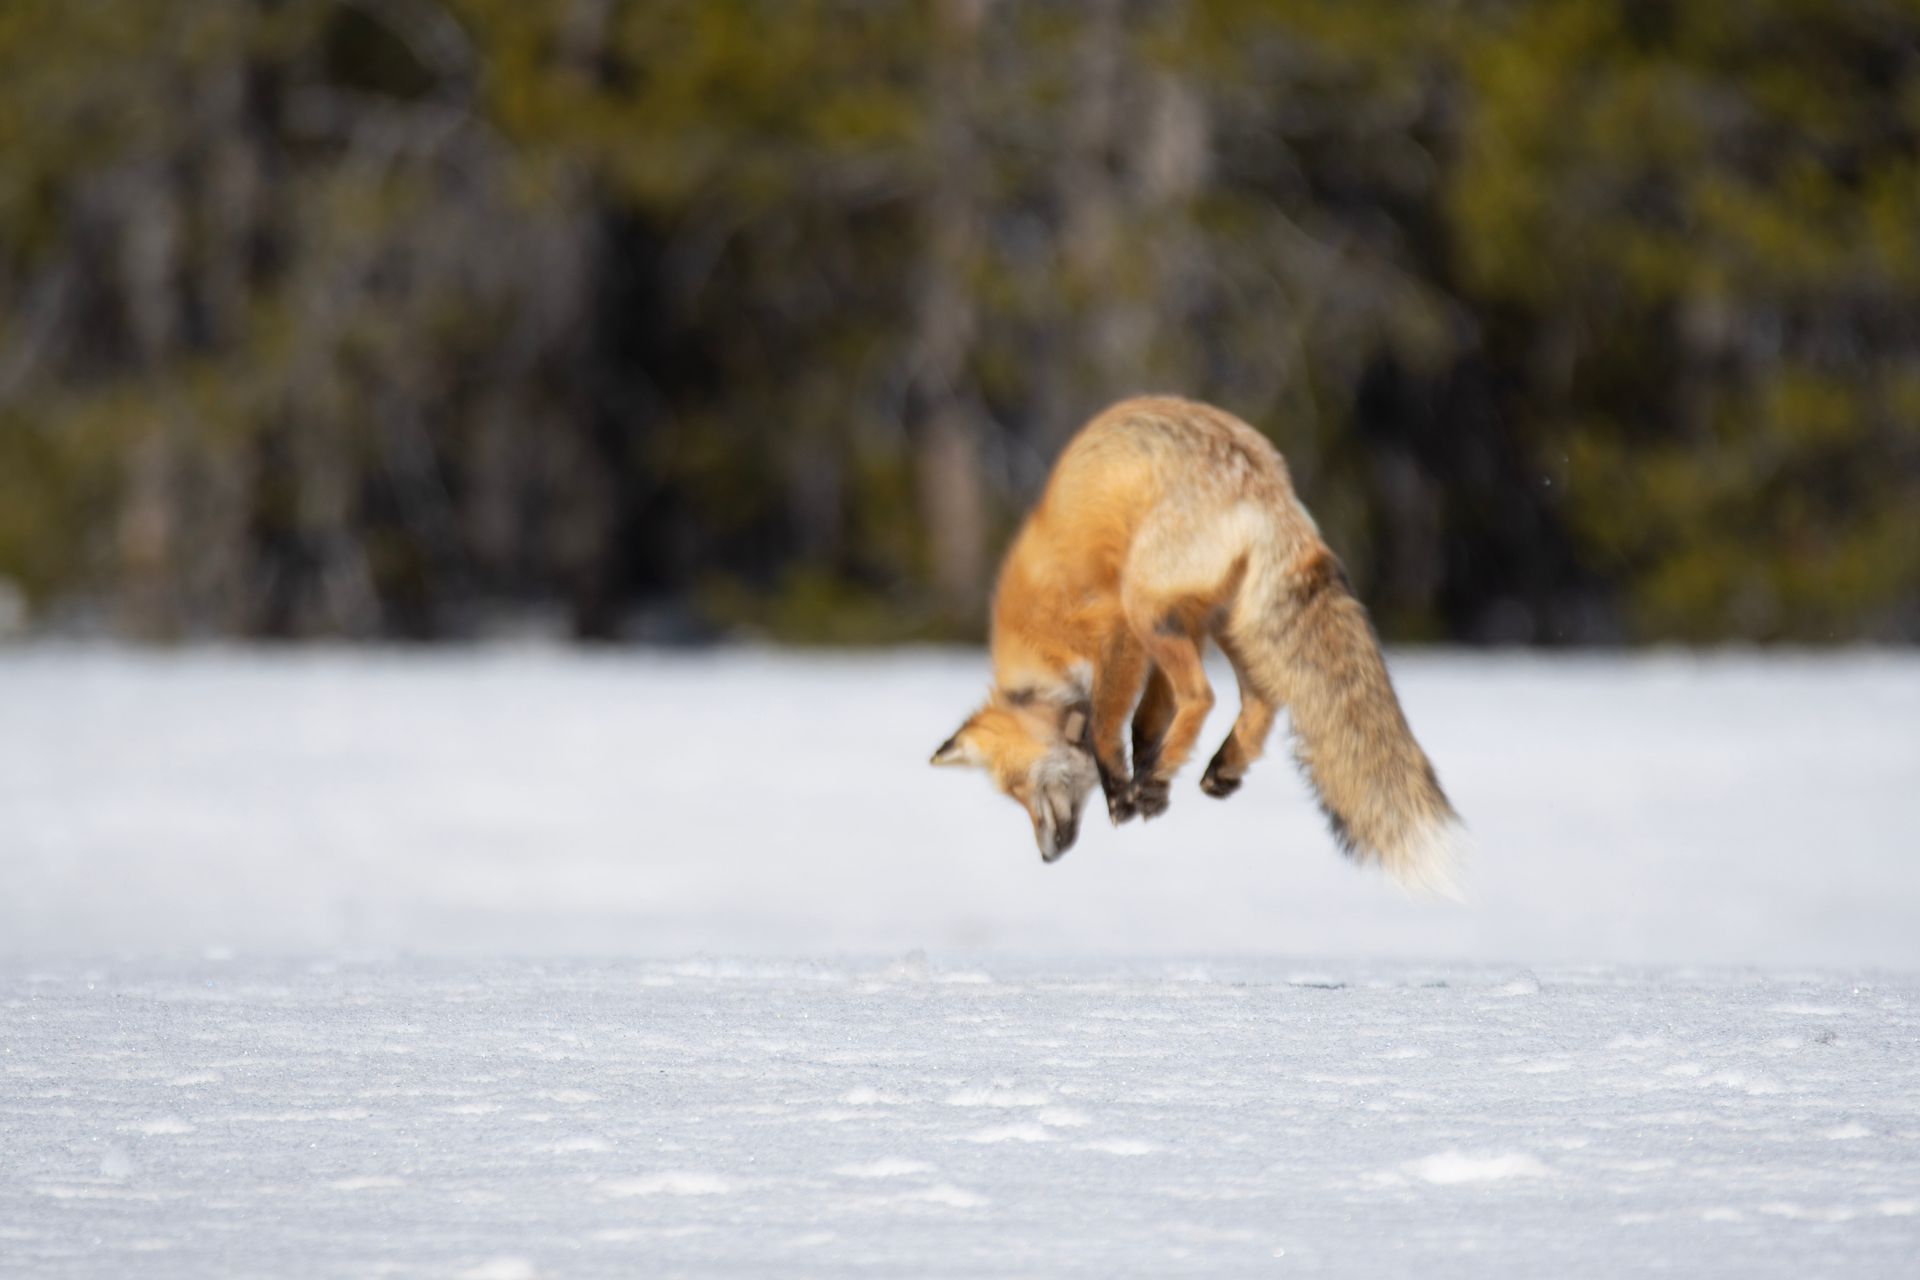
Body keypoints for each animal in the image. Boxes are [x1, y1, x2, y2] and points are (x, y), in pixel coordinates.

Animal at [925, 395, 1451, 898]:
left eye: (1021, 787)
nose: (1046, 856)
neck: (1041, 643)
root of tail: (1268, 485)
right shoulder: (1174, 634)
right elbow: (1146, 720)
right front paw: (1148, 779)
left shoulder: (1117, 629)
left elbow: (1104, 727)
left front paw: (1124, 792)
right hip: (1222, 621)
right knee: (1261, 696)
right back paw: (1218, 767)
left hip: (1148, 606)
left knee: (1203, 695)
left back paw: (1164, 774)